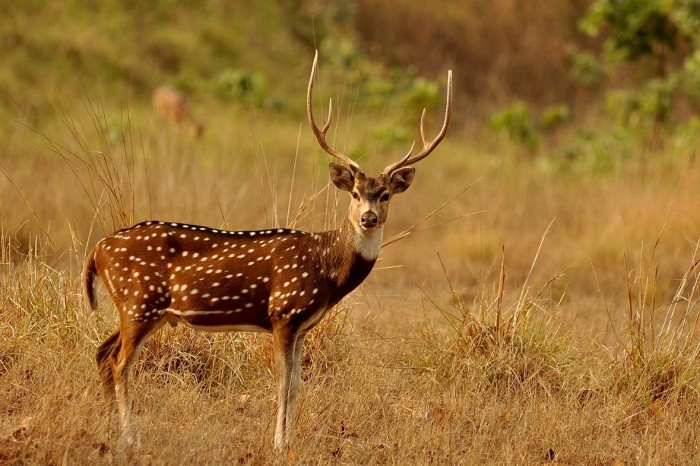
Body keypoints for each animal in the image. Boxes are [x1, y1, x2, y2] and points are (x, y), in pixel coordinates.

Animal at [85, 52, 454, 452]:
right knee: (120, 363)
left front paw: (289, 440)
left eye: (385, 194)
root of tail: (97, 250)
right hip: (139, 301)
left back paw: (109, 427)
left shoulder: (304, 325)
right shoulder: (283, 312)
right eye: (355, 193)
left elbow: (296, 386)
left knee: (103, 352)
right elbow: (282, 384)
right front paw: (279, 443)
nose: (368, 218)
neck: (326, 268)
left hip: (140, 309)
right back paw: (129, 437)